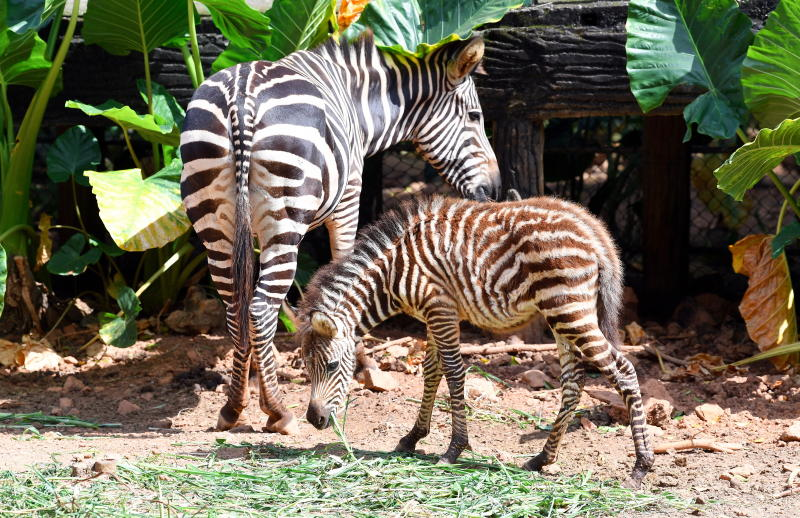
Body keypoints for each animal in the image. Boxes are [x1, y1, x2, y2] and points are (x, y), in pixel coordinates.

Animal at [181, 34, 500, 436]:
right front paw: (364, 365)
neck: (356, 100)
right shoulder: (349, 197)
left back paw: (233, 406)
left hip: (214, 223)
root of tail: (241, 97)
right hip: (285, 219)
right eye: (475, 117)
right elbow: (345, 269)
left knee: (236, 305)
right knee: (261, 309)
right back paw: (277, 411)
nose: (495, 190)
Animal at [296, 197, 652, 490]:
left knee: (623, 371)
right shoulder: (436, 314)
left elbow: (454, 372)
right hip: (562, 313)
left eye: (331, 365)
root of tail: (594, 231)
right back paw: (542, 459)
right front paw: (413, 437)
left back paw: (640, 467)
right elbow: (432, 371)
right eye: (306, 369)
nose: (314, 421)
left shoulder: (439, 308)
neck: (393, 272)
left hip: (568, 309)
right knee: (573, 381)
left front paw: (454, 449)